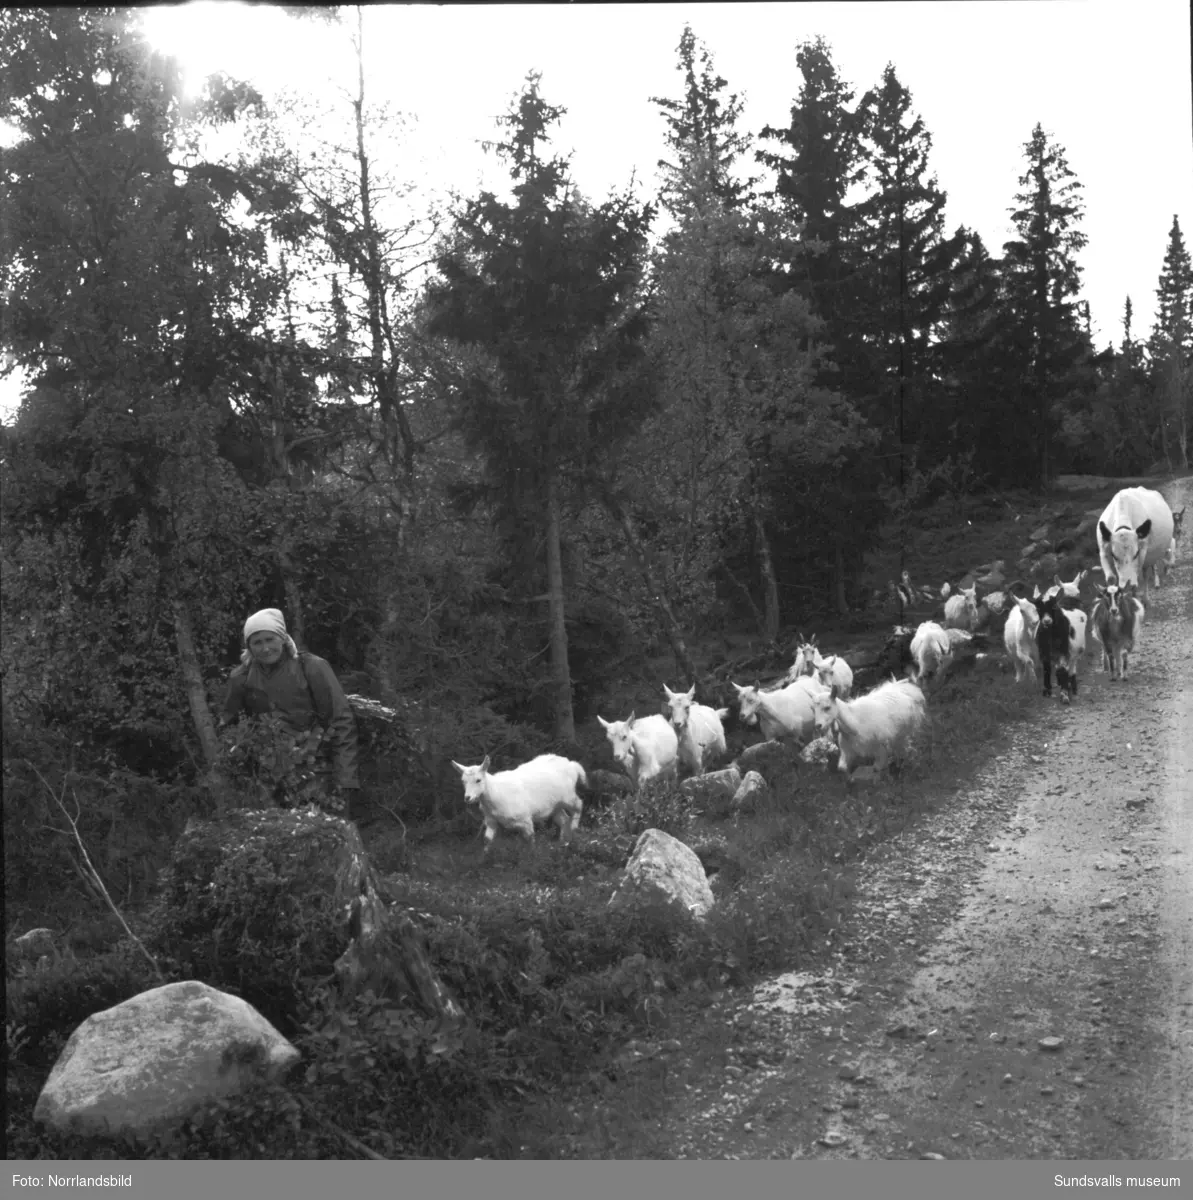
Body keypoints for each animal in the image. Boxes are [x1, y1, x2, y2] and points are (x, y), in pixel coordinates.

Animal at [451, 748, 585, 854]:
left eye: (478, 780)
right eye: (463, 781)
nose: (468, 798)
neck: (496, 794)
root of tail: (572, 765)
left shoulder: (525, 819)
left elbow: (530, 838)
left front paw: (532, 856)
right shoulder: (490, 819)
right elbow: (487, 839)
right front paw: (484, 857)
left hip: (568, 795)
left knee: (579, 804)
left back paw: (574, 829)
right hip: (555, 806)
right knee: (563, 819)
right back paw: (563, 842)